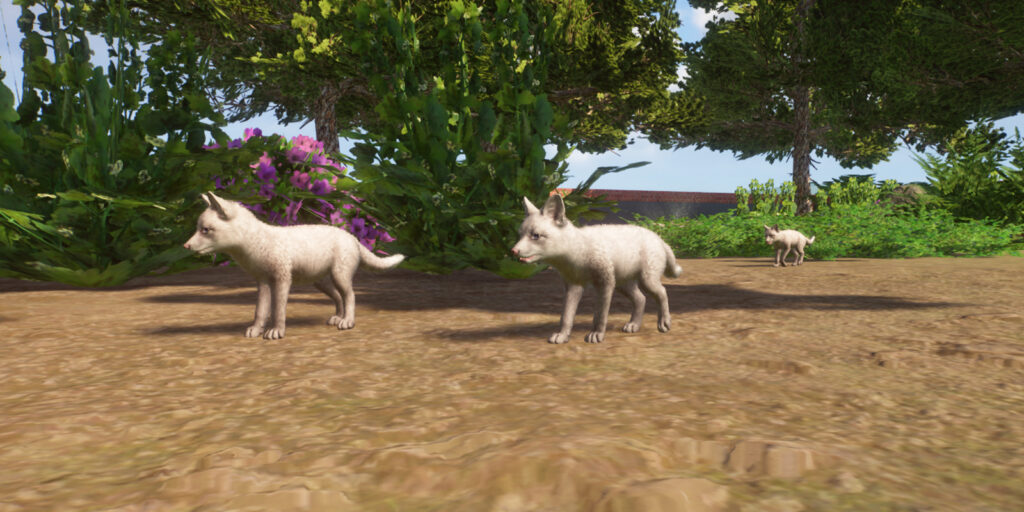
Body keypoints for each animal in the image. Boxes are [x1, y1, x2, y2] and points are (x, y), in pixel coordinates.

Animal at [183, 192, 404, 340]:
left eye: (205, 230)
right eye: (198, 228)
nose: (185, 246)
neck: (256, 243)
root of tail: (352, 237)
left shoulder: (282, 280)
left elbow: (278, 309)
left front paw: (276, 331)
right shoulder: (263, 282)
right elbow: (260, 310)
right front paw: (256, 330)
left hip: (339, 276)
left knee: (351, 296)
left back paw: (347, 321)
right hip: (322, 282)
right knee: (339, 297)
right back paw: (337, 317)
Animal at [511, 194, 683, 344]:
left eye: (535, 236)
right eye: (520, 235)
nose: (513, 251)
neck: (576, 256)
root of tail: (659, 239)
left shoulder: (604, 283)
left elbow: (599, 315)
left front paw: (596, 334)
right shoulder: (573, 286)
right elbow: (566, 316)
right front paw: (562, 336)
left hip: (646, 281)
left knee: (662, 292)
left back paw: (664, 322)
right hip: (623, 285)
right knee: (641, 299)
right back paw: (634, 325)